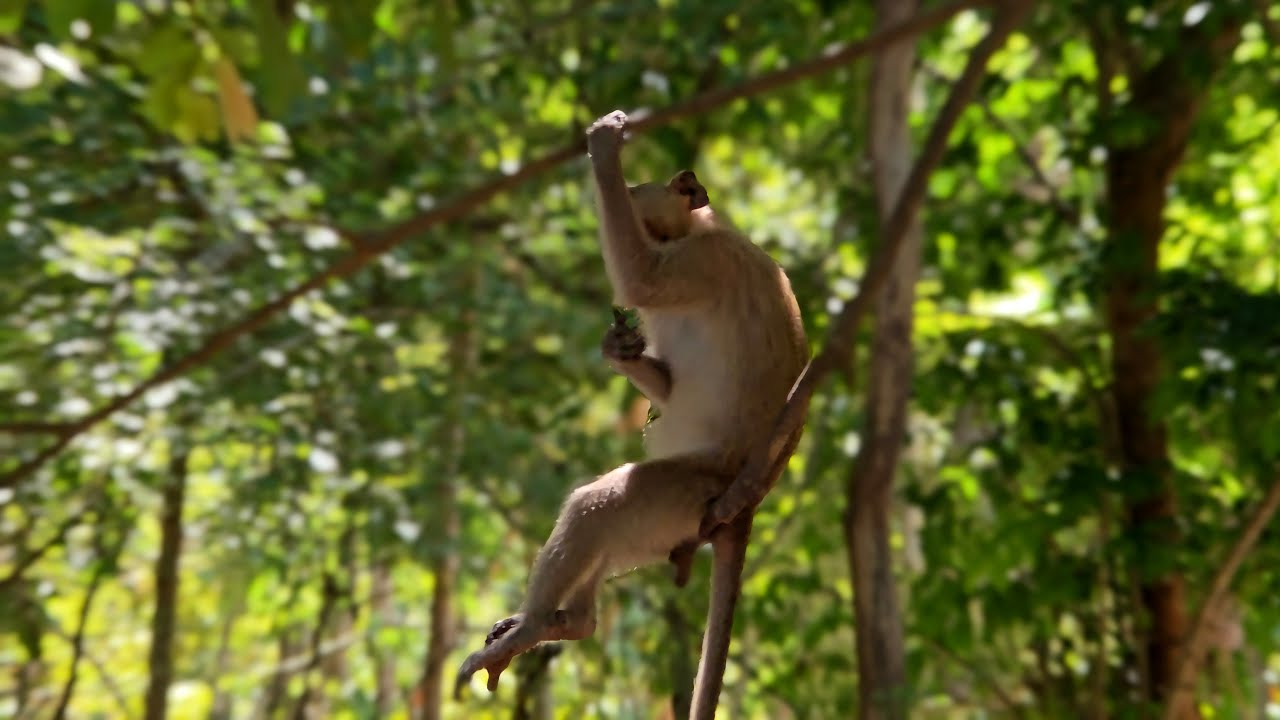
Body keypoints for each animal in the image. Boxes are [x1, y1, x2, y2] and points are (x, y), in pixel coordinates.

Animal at [454, 111, 808, 715]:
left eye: (637, 189)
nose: (626, 189)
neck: (698, 229)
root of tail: (744, 504)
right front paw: (617, 348)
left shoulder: (704, 262)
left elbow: (643, 277)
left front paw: (604, 151)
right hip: (674, 525)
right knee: (605, 530)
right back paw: (571, 622)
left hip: (688, 494)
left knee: (599, 506)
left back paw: (534, 625)